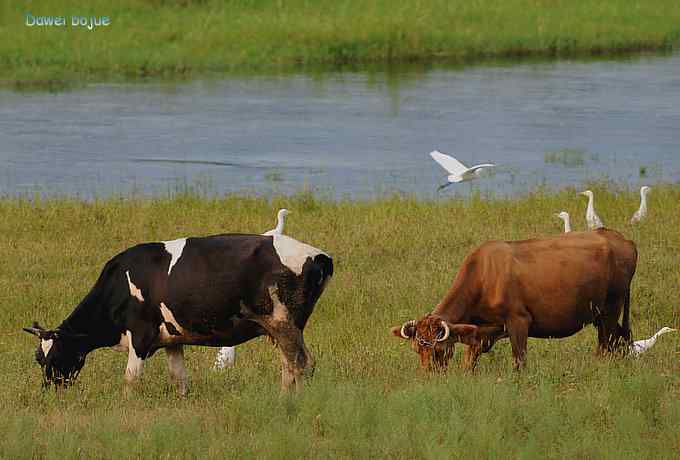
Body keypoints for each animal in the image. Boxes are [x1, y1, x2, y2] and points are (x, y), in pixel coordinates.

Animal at [25, 234, 334, 396]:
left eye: (55, 355)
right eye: (39, 358)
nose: (49, 389)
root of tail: (320, 255)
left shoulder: (141, 335)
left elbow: (130, 378)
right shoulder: (172, 340)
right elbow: (179, 378)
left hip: (284, 323)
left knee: (302, 364)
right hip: (282, 328)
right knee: (290, 365)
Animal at [394, 228, 636, 372]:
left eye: (438, 350)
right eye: (417, 350)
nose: (430, 376)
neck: (484, 275)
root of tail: (620, 238)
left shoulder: (518, 321)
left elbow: (519, 361)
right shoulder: (481, 333)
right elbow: (468, 363)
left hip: (611, 307)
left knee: (607, 344)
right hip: (602, 314)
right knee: (620, 340)